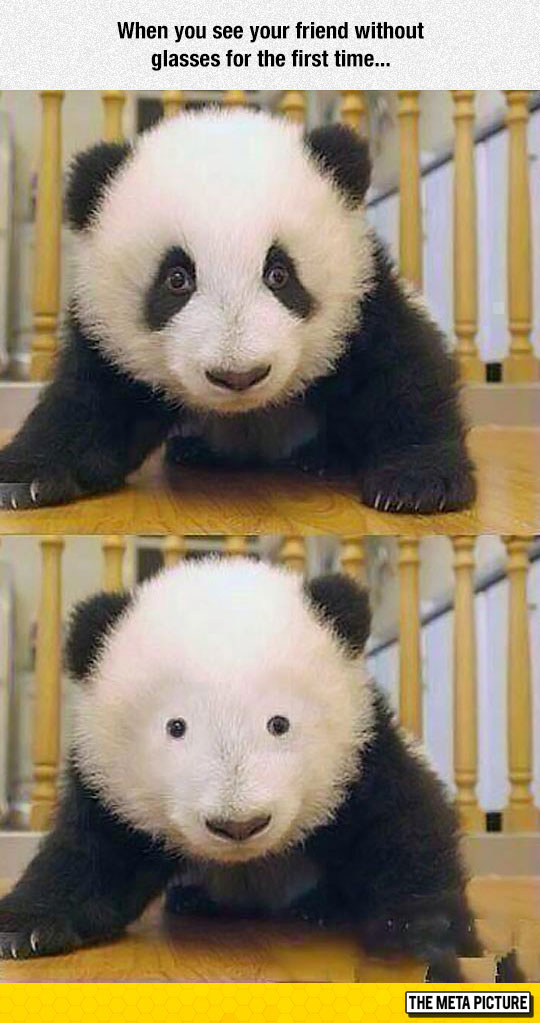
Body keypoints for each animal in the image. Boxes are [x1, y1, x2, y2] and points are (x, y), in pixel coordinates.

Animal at [0, 109, 475, 514]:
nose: (238, 376)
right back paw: (198, 450)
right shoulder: (108, 336)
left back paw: (322, 456)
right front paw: (23, 477)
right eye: (176, 279)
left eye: (279, 273)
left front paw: (418, 483)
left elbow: (399, 373)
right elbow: (87, 404)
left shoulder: (362, 301)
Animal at [0, 558, 480, 980]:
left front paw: (427, 941)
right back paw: (194, 900)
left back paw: (320, 906)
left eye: (279, 723)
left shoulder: (360, 753)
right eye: (176, 727)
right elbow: (90, 854)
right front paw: (26, 928)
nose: (239, 825)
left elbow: (398, 827)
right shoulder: (110, 781)